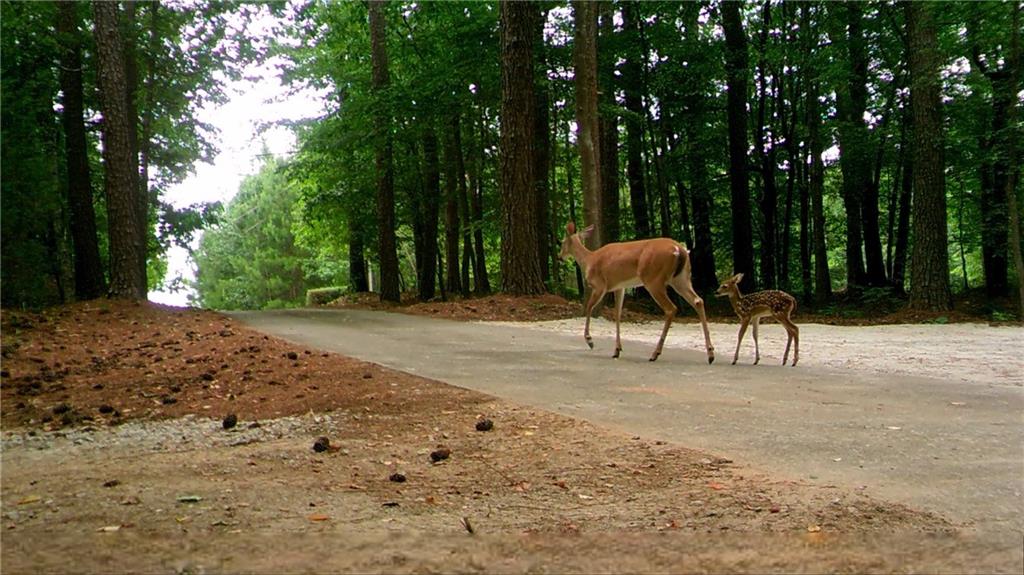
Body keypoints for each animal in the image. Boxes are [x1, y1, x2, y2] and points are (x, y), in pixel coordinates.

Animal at [557, 219, 716, 362]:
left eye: (562, 242)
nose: (559, 257)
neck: (589, 260)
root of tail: (680, 250)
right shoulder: (619, 287)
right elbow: (618, 314)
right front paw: (617, 350)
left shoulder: (600, 285)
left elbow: (589, 307)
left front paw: (590, 340)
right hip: (681, 278)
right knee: (698, 300)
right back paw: (710, 354)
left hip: (653, 279)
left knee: (671, 308)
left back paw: (655, 354)